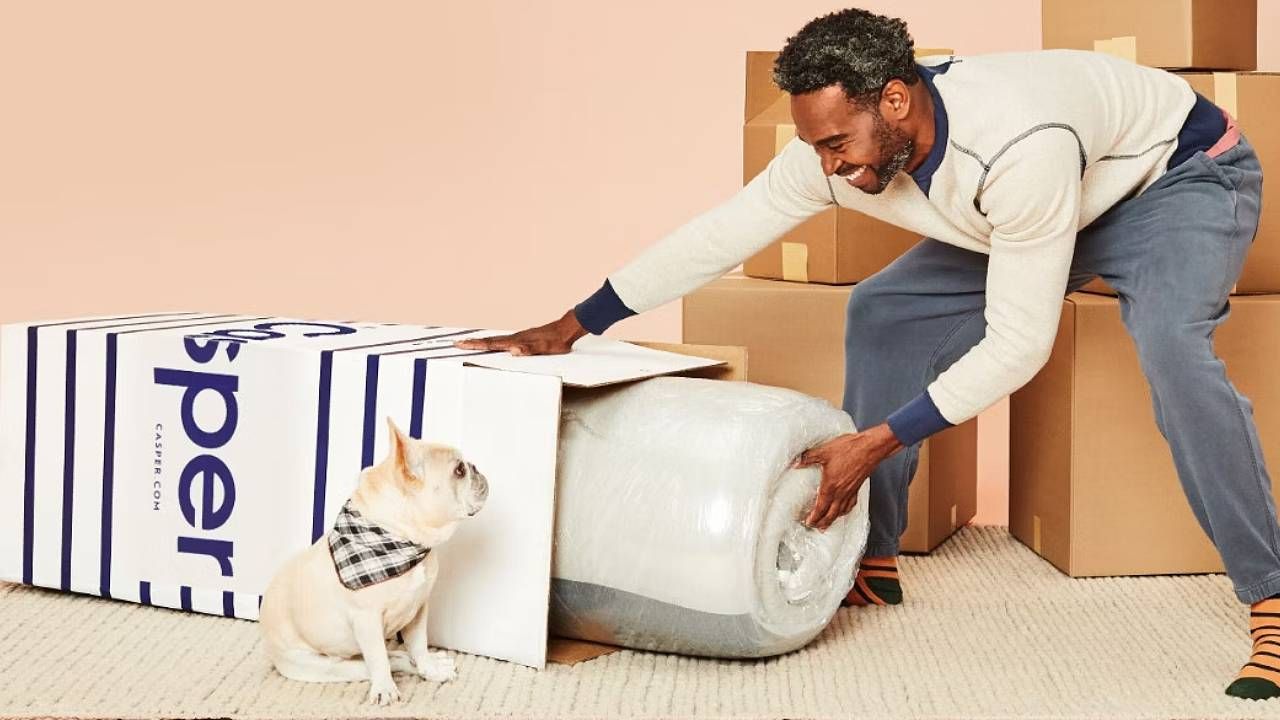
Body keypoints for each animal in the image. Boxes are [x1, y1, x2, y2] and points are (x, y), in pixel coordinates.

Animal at [259, 415, 488, 702]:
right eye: (459, 470)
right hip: (326, 665)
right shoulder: (366, 620)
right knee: (380, 661)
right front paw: (385, 689)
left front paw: (431, 670)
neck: (402, 539)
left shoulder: (419, 608)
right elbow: (378, 657)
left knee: (399, 655)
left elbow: (419, 645)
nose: (475, 467)